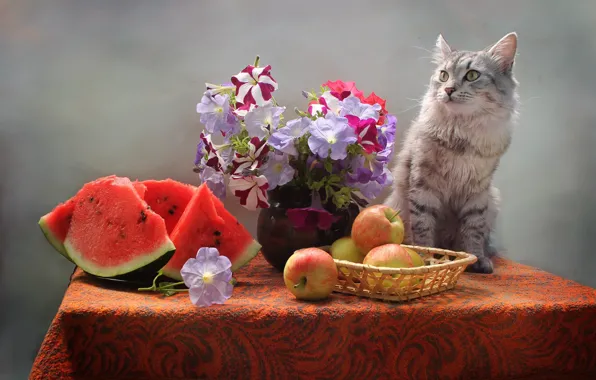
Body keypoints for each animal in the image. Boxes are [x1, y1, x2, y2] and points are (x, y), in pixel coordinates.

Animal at [386, 31, 516, 272]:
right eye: (444, 75)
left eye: (472, 75)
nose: (448, 90)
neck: (461, 132)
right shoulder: (423, 184)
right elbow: (423, 228)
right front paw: (425, 258)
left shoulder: (477, 191)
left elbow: (473, 230)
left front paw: (476, 259)